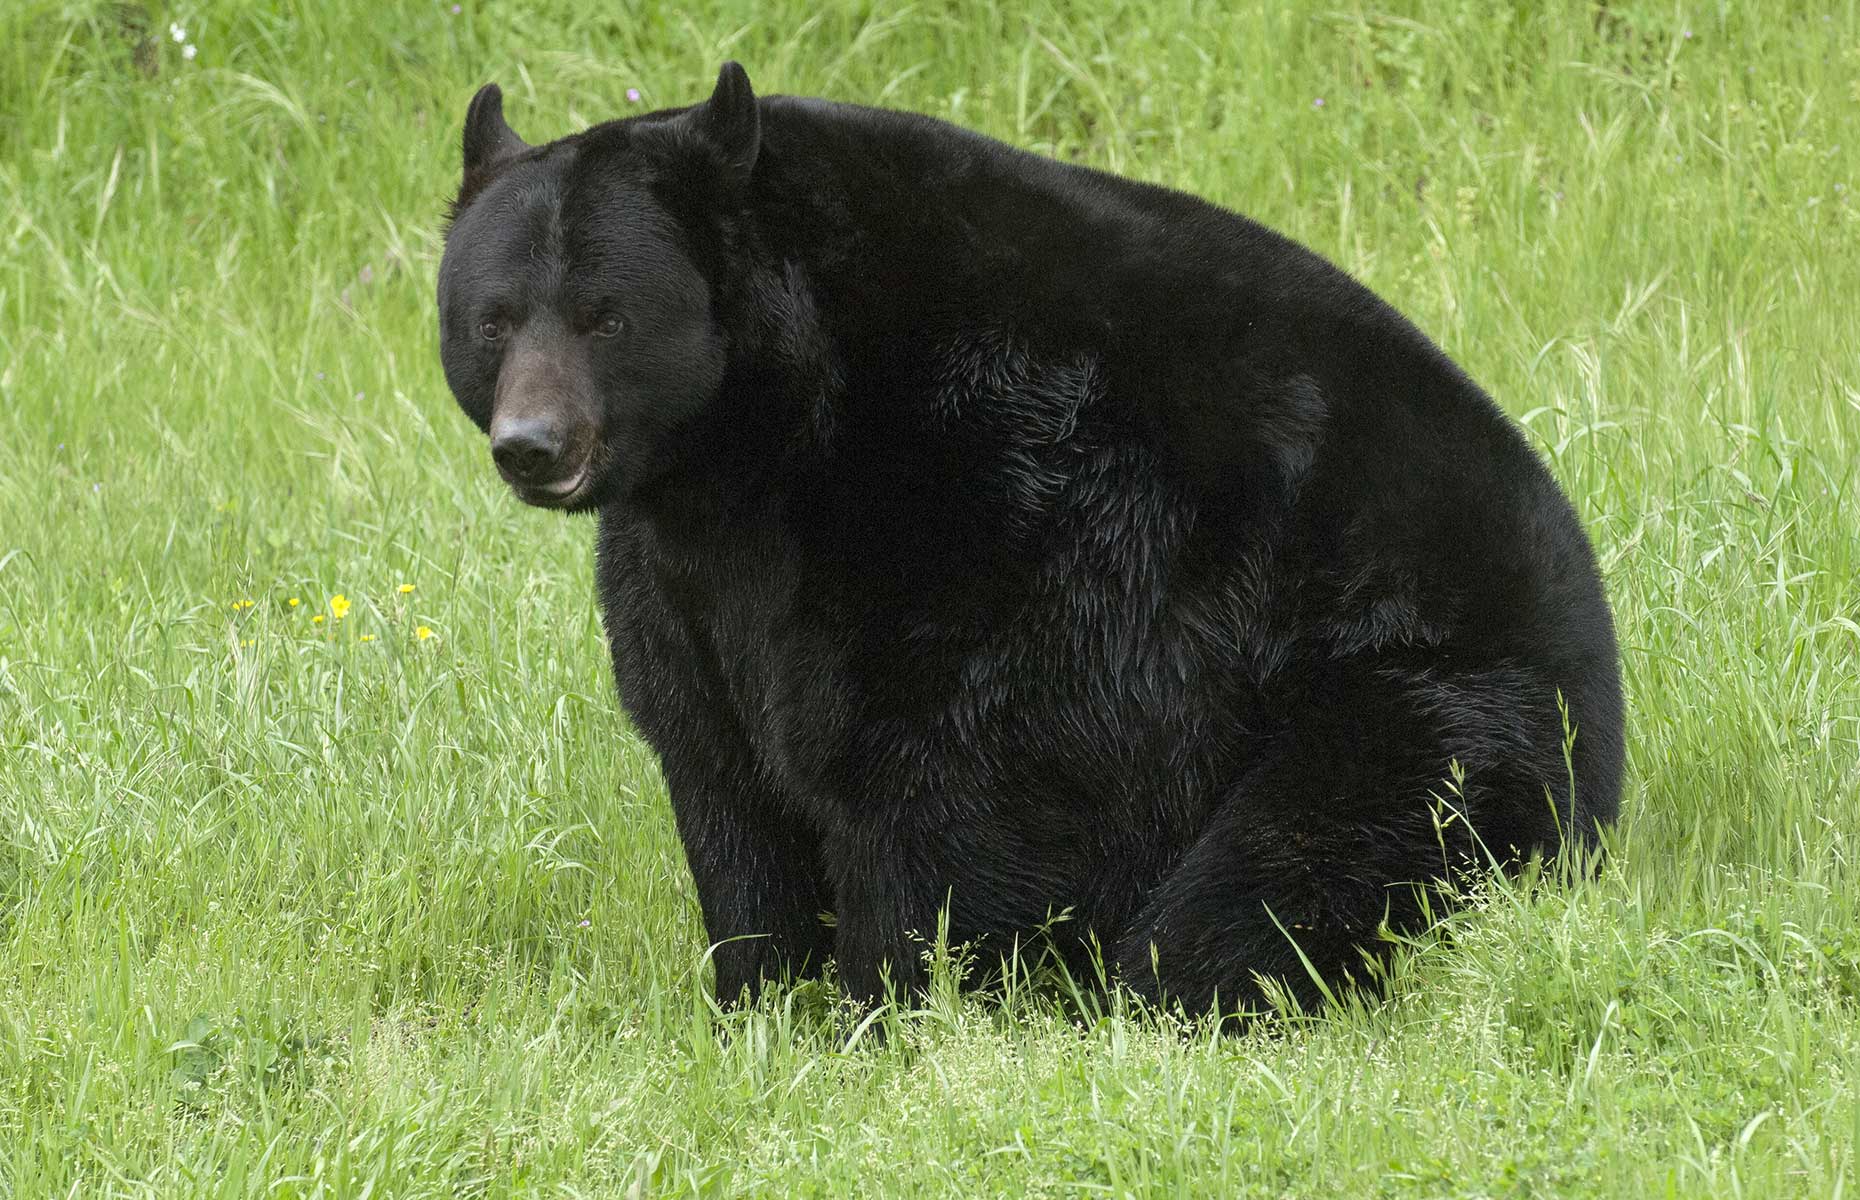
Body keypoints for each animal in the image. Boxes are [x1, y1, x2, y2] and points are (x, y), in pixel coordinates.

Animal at [431, 65, 1614, 1012]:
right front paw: (761, 1000)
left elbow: (942, 769)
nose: (532, 445)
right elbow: (720, 769)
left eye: (606, 315)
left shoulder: (991, 496)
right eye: (493, 319)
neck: (756, 443)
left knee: (1282, 872)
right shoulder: (682, 571)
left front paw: (894, 1010)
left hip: (1426, 704)